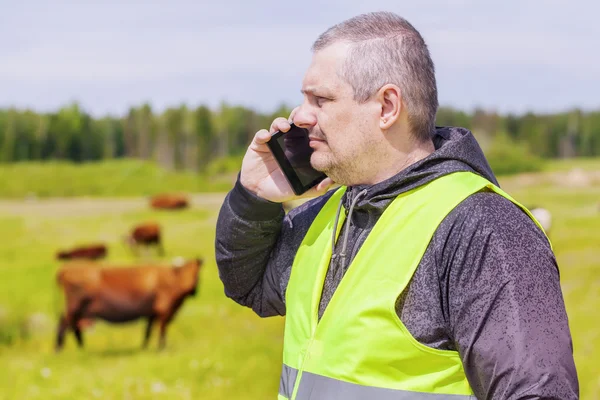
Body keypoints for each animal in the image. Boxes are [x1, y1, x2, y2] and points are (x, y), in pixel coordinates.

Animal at [55, 258, 203, 352]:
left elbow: (148, 332)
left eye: (197, 273)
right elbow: (161, 330)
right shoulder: (164, 310)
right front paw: (161, 348)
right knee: (65, 325)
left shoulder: (152, 314)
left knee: (73, 327)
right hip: (74, 308)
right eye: (187, 272)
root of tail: (65, 269)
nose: (191, 288)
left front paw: (144, 348)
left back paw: (80, 349)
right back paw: (61, 350)